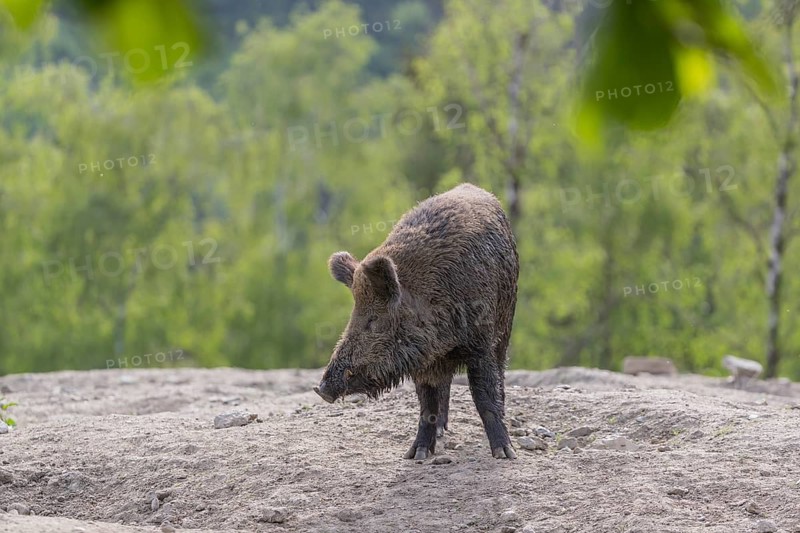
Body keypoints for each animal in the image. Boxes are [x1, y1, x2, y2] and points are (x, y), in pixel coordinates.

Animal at [314, 183, 519, 459]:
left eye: (372, 320)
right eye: (353, 315)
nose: (322, 390)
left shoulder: (480, 343)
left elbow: (484, 395)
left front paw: (505, 454)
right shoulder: (423, 360)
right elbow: (427, 404)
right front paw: (416, 455)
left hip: (506, 323)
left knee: (500, 371)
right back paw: (442, 431)